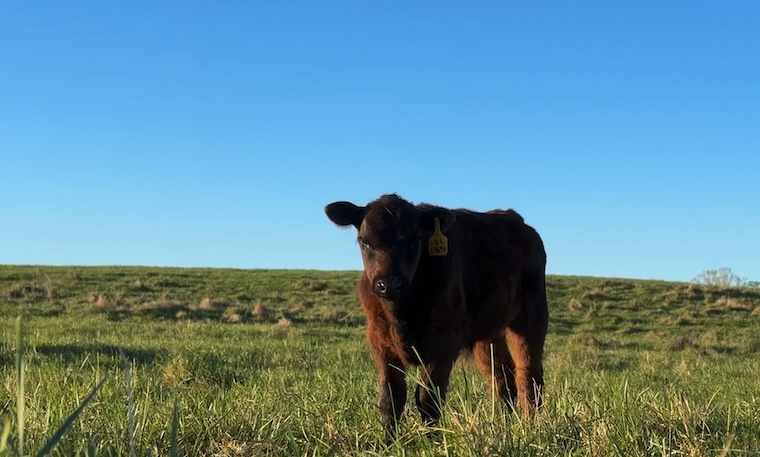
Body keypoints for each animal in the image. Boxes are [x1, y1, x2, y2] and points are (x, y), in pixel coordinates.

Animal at [324, 193, 548, 435]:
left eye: (413, 241)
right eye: (364, 241)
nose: (389, 285)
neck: (402, 315)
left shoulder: (444, 343)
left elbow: (427, 399)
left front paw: (432, 438)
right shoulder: (379, 341)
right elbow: (390, 398)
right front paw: (389, 439)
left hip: (532, 315)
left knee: (528, 373)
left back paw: (530, 424)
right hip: (487, 333)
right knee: (502, 375)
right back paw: (504, 424)